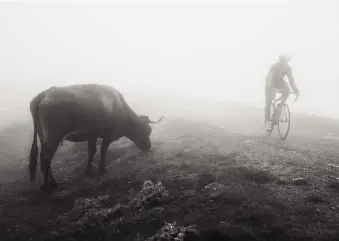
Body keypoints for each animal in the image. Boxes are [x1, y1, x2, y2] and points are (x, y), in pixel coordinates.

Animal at [27, 84, 163, 193]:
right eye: (146, 130)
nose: (148, 147)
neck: (118, 106)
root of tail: (44, 94)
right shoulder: (107, 134)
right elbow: (103, 150)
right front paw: (101, 170)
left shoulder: (92, 135)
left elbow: (92, 151)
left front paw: (88, 172)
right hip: (53, 136)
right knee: (45, 157)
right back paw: (45, 186)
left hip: (43, 136)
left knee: (45, 157)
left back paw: (53, 182)